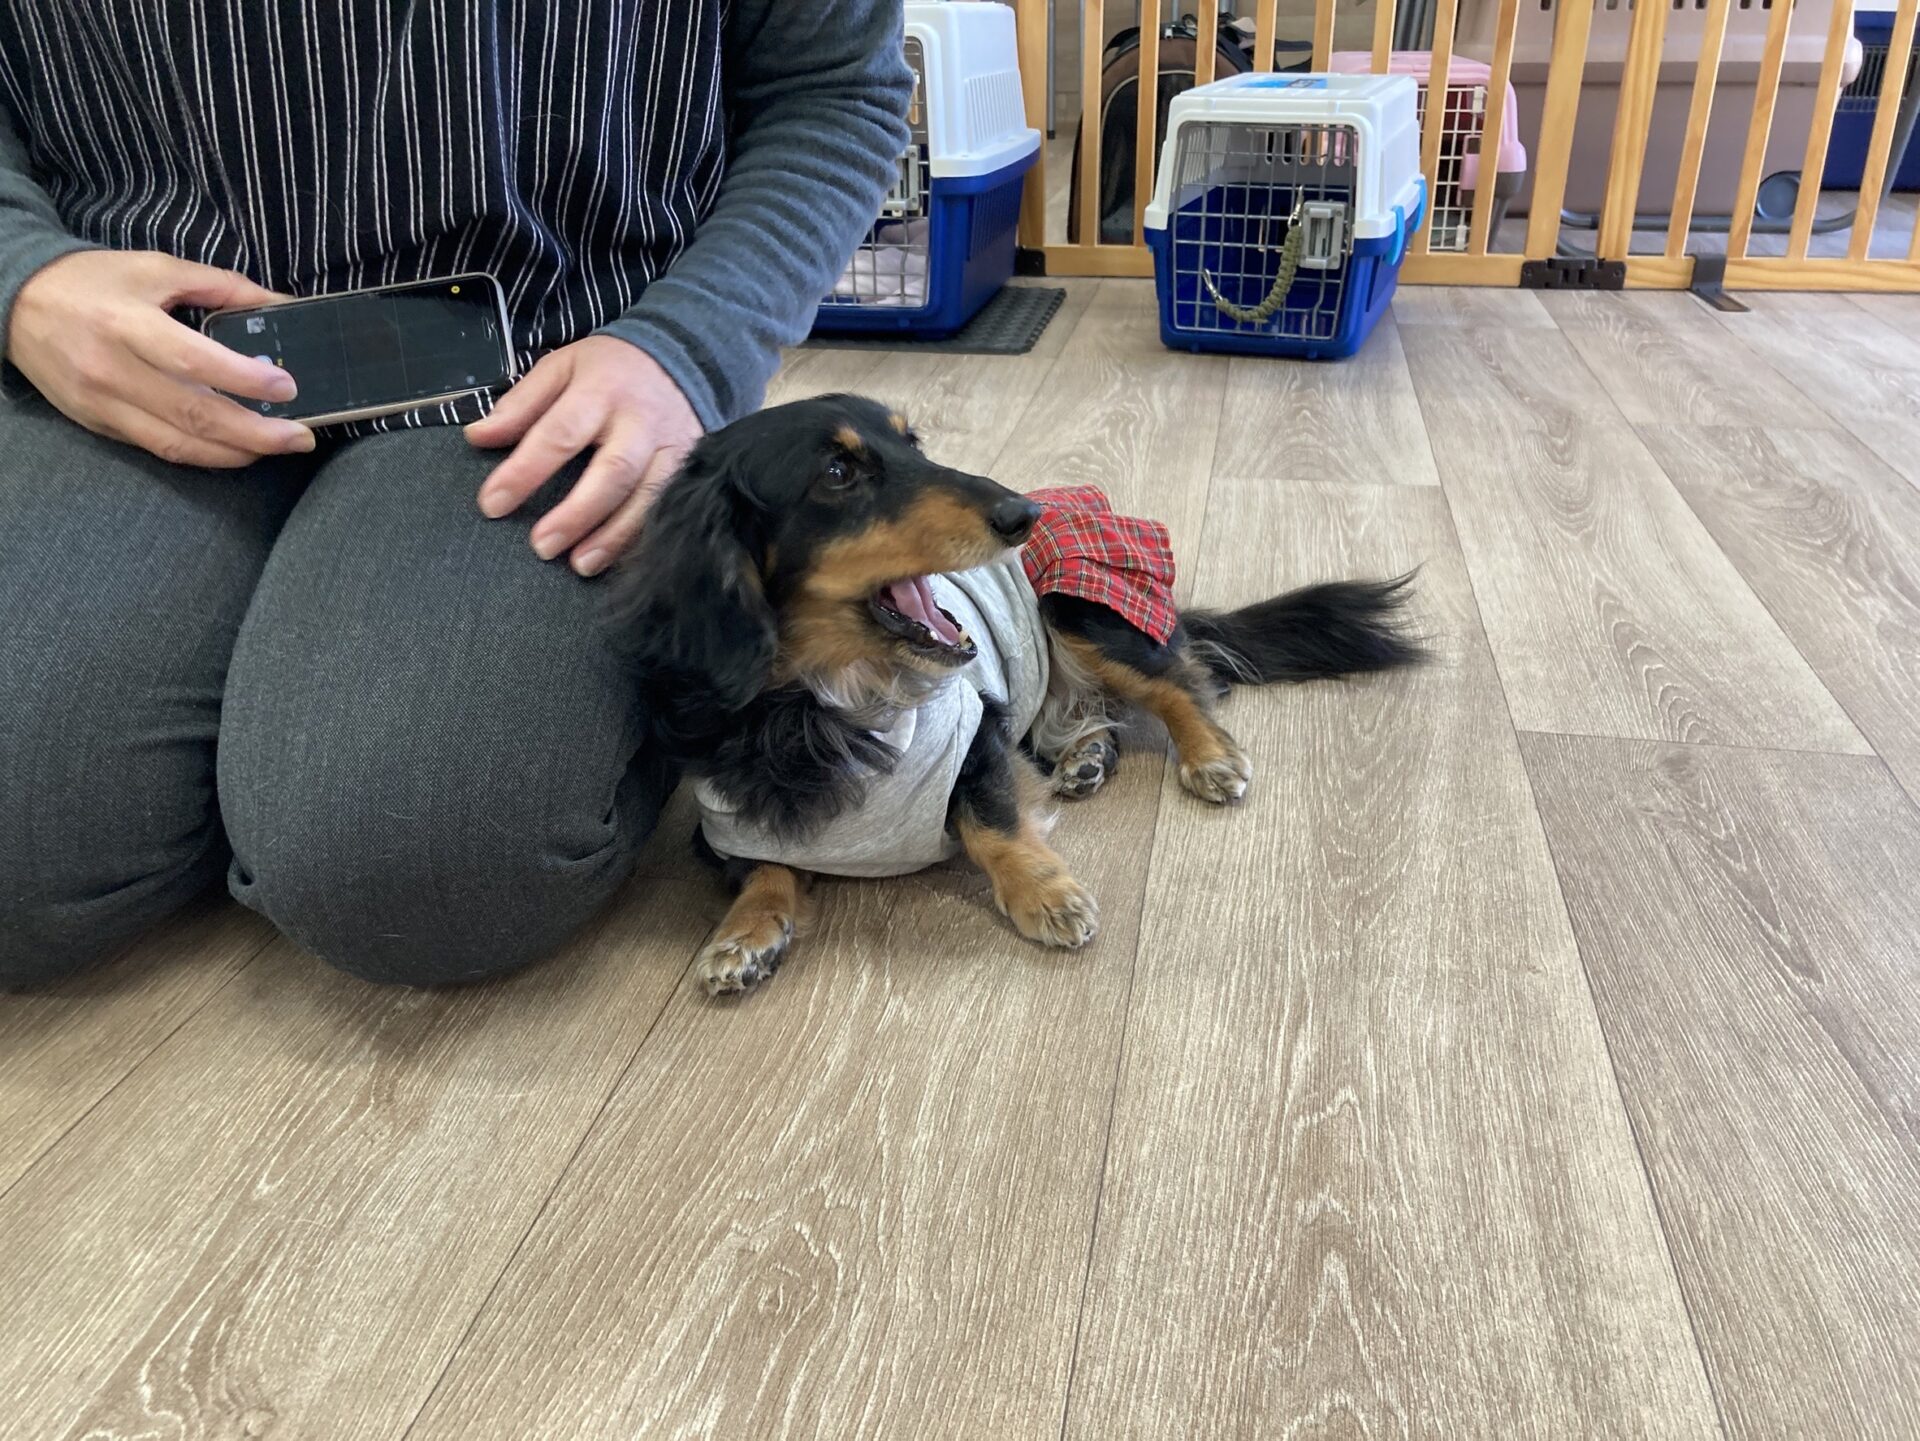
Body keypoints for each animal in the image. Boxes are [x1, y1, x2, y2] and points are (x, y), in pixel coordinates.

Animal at [607, 394, 1422, 996]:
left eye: (915, 442)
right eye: (838, 471)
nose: (1021, 513)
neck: (824, 701)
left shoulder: (973, 732)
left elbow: (991, 821)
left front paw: (1045, 894)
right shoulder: (728, 820)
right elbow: (763, 869)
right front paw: (743, 935)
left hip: (1074, 608)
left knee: (1176, 681)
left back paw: (1207, 757)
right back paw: (1087, 756)